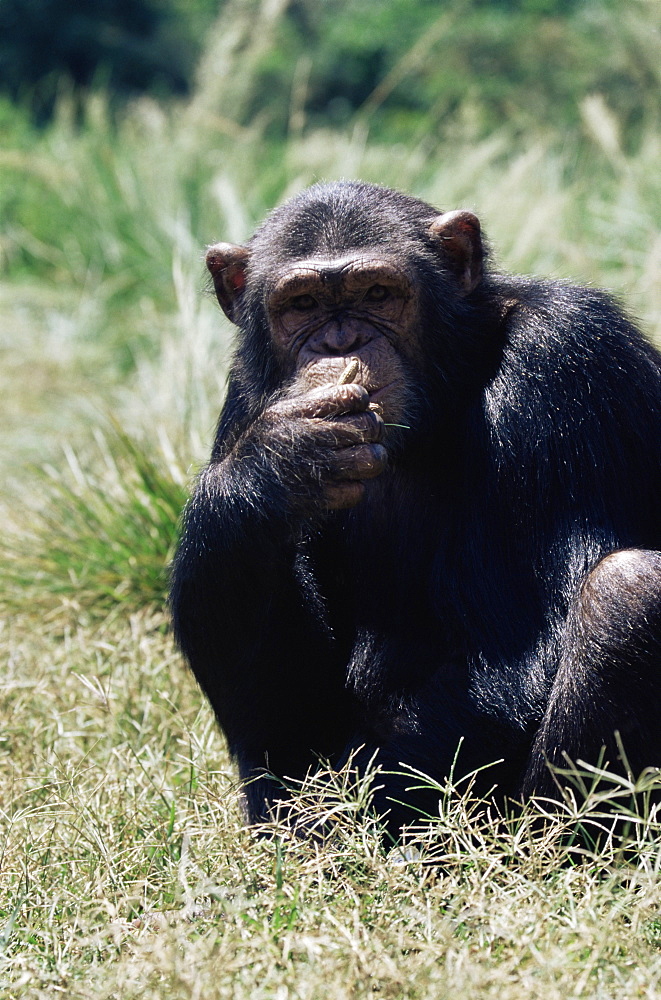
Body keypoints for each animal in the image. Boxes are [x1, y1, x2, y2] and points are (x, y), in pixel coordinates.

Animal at [169, 182, 660, 836]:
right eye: (302, 304)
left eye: (377, 294)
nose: (341, 343)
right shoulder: (244, 398)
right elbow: (284, 710)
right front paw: (278, 460)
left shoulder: (567, 359)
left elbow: (524, 642)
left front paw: (357, 803)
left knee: (627, 594)